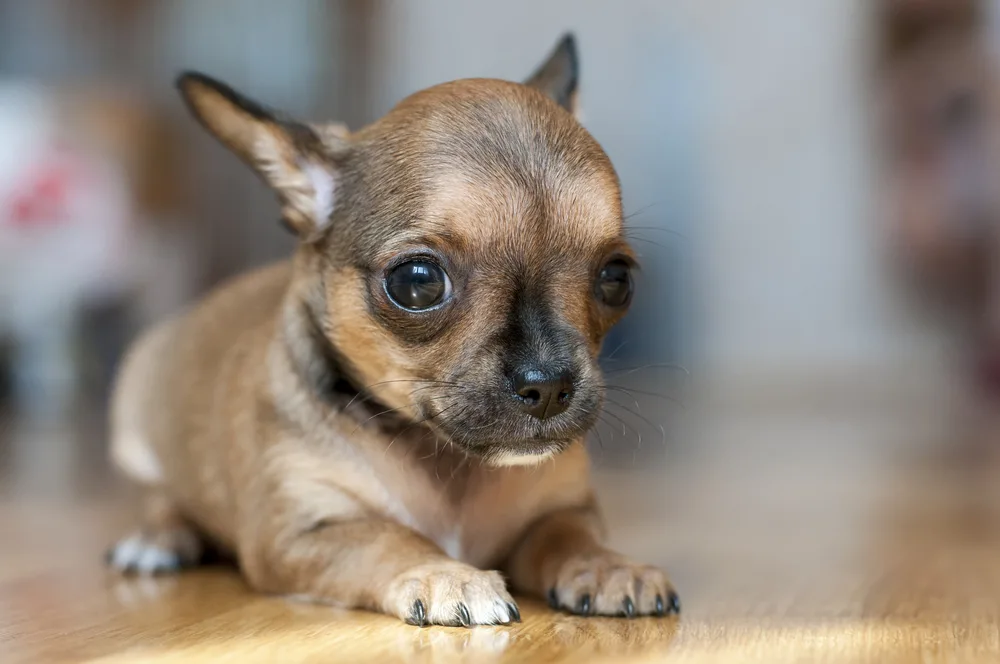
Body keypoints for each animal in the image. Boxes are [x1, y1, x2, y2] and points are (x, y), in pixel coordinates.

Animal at [105, 35, 676, 628]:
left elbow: (567, 536)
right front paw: (445, 573)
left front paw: (609, 565)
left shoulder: (563, 508)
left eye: (616, 279)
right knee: (162, 497)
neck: (447, 460)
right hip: (136, 429)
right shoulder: (301, 534)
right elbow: (387, 537)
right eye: (417, 281)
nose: (549, 386)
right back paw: (158, 539)